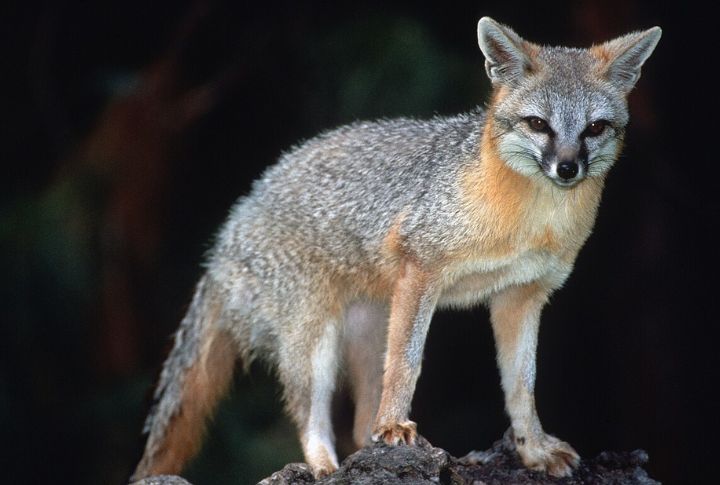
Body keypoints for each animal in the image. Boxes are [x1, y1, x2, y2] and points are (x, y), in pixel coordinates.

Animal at [132, 17, 661, 481]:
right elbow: (408, 363)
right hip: (314, 341)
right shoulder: (420, 269)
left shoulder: (521, 296)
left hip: (367, 333)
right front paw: (394, 426)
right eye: (539, 124)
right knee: (310, 414)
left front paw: (532, 449)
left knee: (358, 420)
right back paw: (325, 467)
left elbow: (522, 385)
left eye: (594, 129)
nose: (567, 169)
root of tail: (228, 232)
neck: (531, 222)